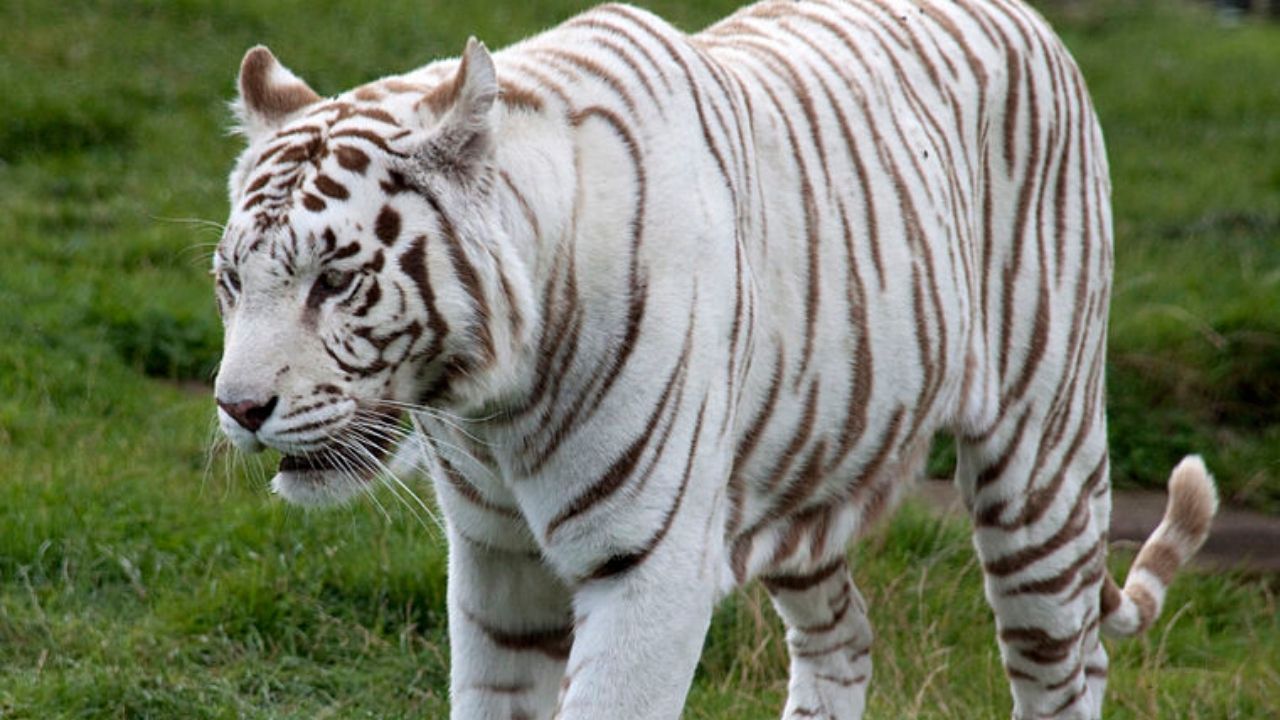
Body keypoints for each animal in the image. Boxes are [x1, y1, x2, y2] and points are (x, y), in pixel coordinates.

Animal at [210, 0, 1218, 717]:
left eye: (335, 280)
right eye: (230, 280)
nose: (238, 409)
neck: (490, 408)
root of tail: (1032, 20)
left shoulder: (646, 564)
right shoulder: (496, 562)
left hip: (1039, 464)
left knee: (1069, 664)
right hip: (803, 469)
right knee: (844, 638)